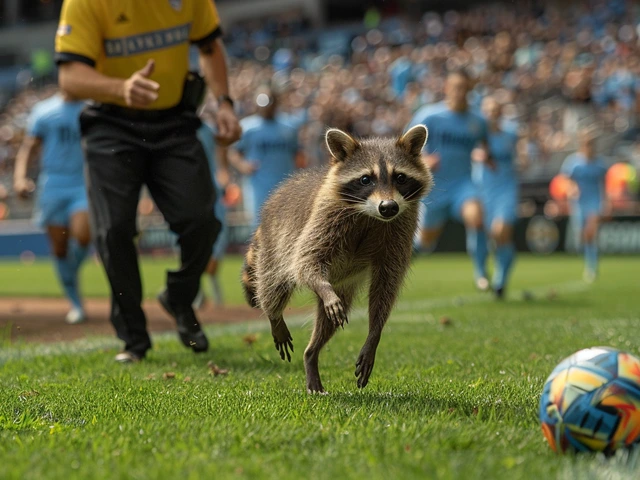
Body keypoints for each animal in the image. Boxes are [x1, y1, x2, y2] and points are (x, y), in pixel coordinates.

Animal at [242, 124, 432, 394]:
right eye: (366, 179)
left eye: (400, 178)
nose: (388, 206)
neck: (370, 214)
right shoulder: (325, 216)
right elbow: (307, 259)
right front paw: (324, 289)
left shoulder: (400, 227)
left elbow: (386, 283)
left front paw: (374, 332)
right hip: (274, 246)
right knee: (272, 285)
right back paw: (274, 315)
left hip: (342, 283)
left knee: (325, 324)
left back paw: (311, 354)